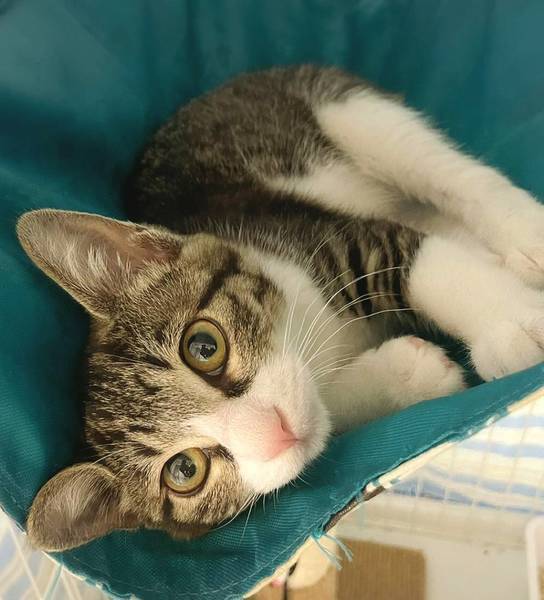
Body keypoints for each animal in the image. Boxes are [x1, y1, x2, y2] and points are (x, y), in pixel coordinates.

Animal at [17, 65, 544, 552]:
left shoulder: (328, 236)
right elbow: (328, 412)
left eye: (203, 347)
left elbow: (434, 268)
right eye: (185, 470)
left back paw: (523, 231)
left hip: (344, 111)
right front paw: (409, 371)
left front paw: (513, 324)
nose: (277, 432)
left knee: (450, 174)